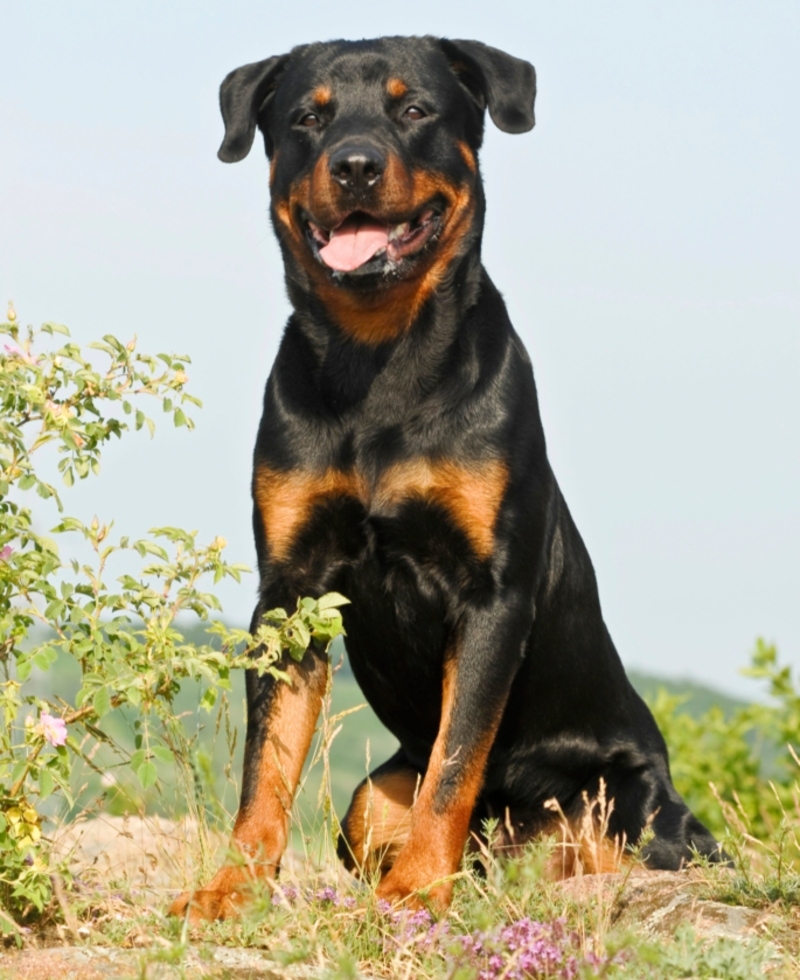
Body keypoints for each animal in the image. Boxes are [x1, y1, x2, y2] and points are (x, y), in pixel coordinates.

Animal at [172, 36, 720, 920]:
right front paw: (230, 889)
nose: (355, 166)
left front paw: (419, 888)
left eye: (415, 109)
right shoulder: (288, 594)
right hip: (369, 800)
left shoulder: (490, 592)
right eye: (308, 118)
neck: (377, 358)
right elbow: (266, 771)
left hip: (635, 809)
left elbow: (458, 760)